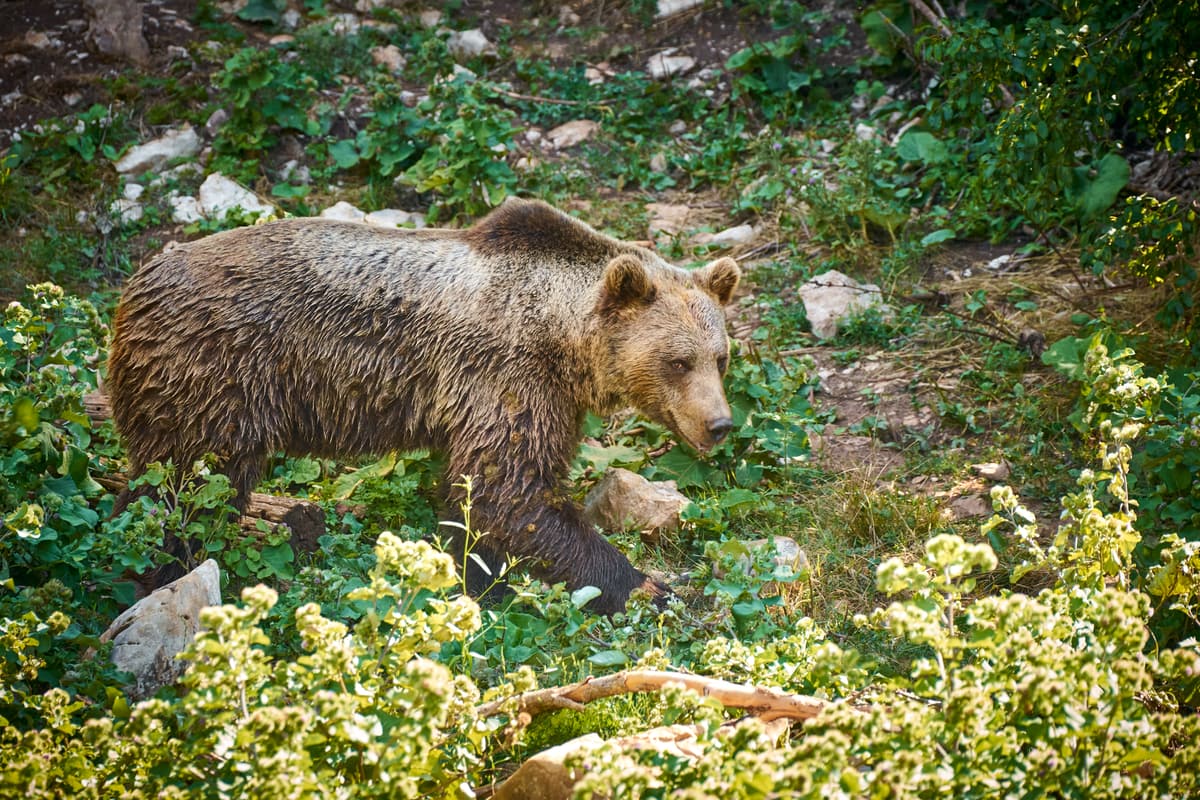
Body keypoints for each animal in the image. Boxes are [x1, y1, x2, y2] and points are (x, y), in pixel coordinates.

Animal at [107, 198, 740, 614]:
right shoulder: (506, 374)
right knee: (186, 492)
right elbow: (509, 491)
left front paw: (480, 580)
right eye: (677, 361)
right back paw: (161, 571)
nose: (719, 424)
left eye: (721, 357)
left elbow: (474, 501)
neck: (561, 336)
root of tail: (132, 289)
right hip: (214, 376)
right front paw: (649, 585)